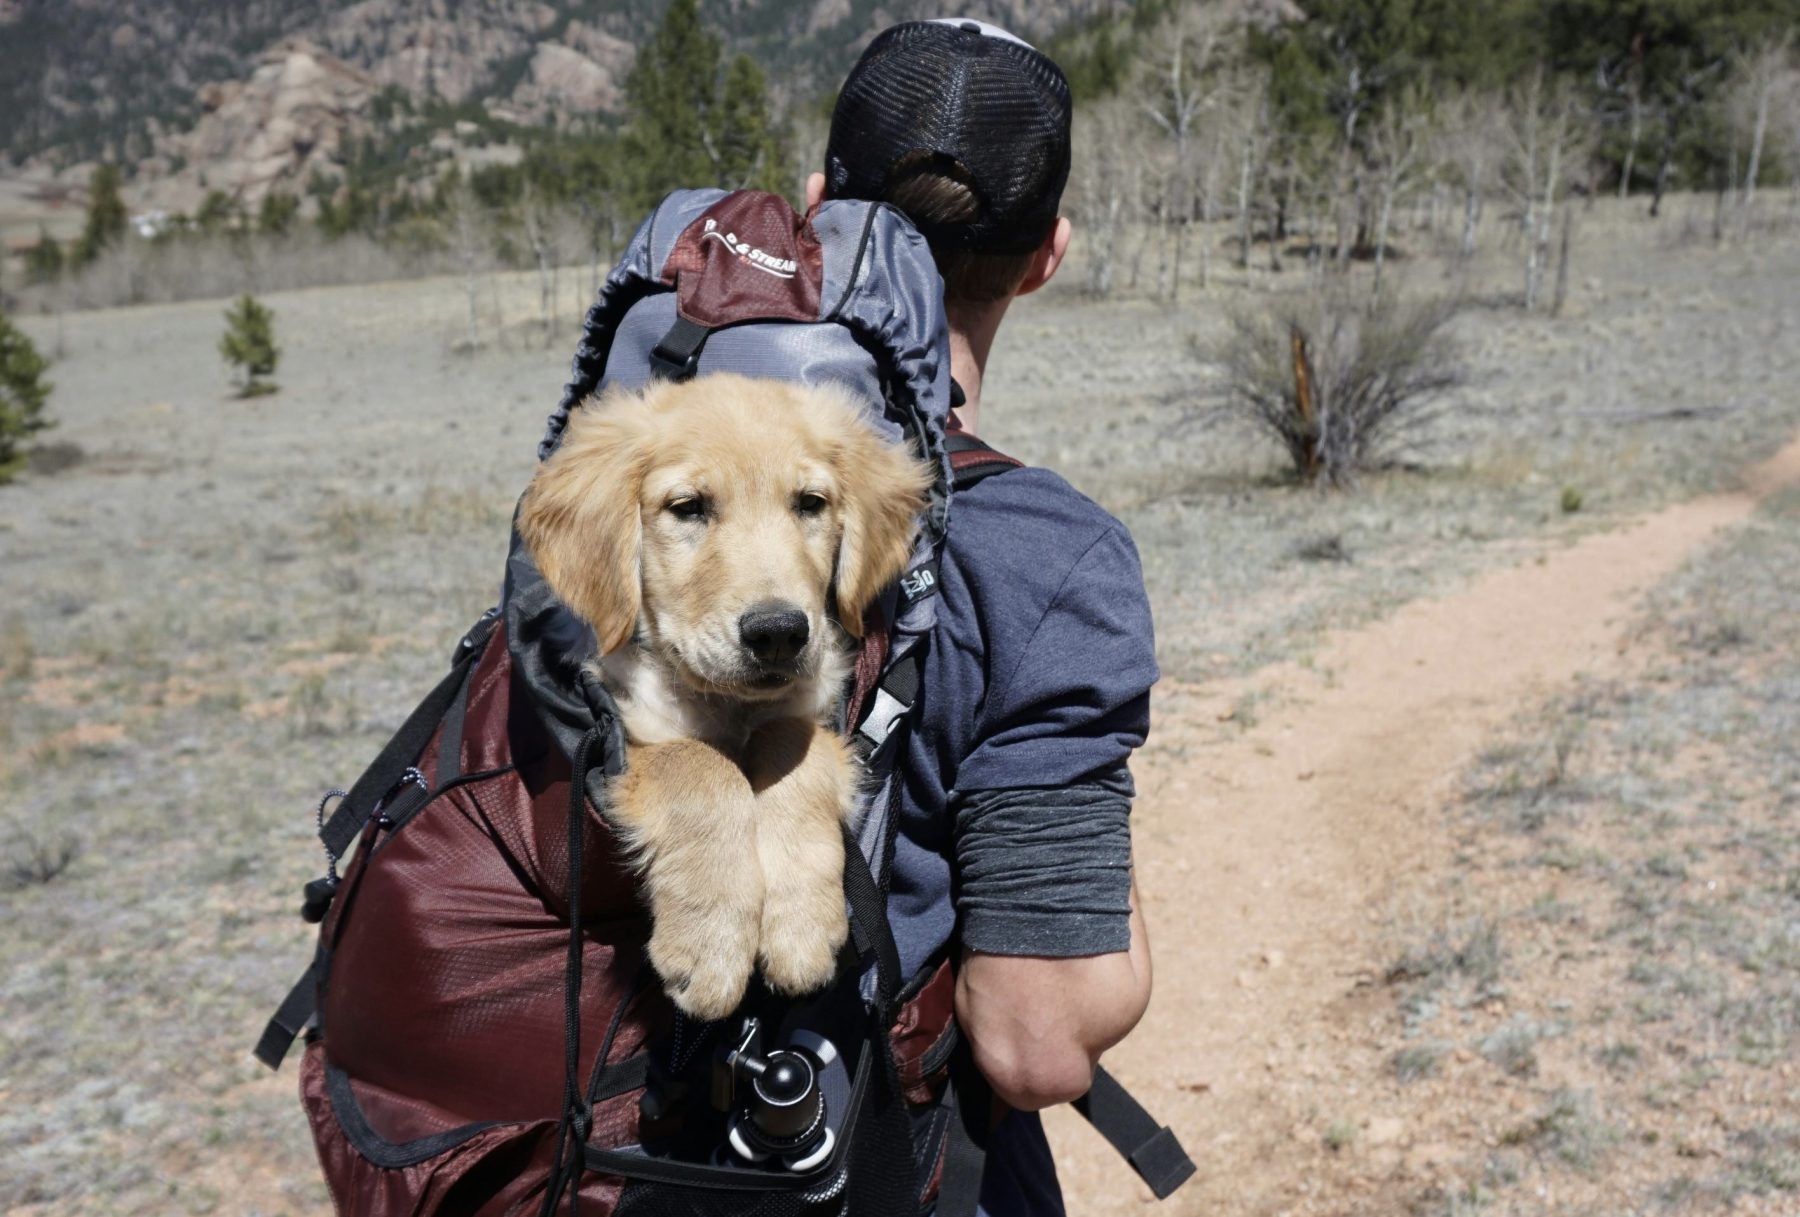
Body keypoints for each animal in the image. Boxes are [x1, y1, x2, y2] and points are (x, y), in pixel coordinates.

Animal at [511, 372, 921, 1015]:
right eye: (688, 508)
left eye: (810, 503)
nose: (779, 633)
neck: (729, 707)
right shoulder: (625, 733)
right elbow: (700, 765)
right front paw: (710, 944)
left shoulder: (817, 713)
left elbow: (790, 744)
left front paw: (799, 925)